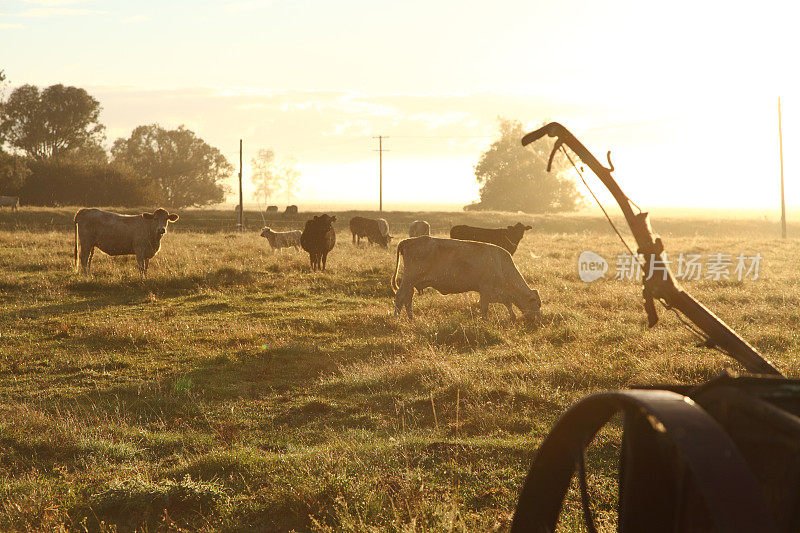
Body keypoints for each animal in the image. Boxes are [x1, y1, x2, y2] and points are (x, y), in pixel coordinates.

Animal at [390, 237, 540, 320]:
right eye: (537, 304)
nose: (539, 320)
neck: (501, 265)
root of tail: (408, 240)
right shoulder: (486, 289)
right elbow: (485, 307)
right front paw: (484, 321)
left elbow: (508, 304)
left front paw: (512, 317)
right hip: (409, 279)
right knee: (400, 297)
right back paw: (396, 318)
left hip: (411, 283)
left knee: (408, 298)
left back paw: (411, 318)